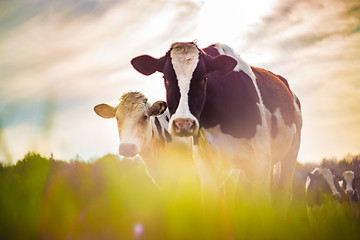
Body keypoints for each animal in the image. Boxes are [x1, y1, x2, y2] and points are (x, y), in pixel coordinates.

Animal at [131, 41, 302, 202]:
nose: (184, 124)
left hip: (290, 153)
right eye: (165, 78)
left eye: (204, 78)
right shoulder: (204, 165)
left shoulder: (260, 159)